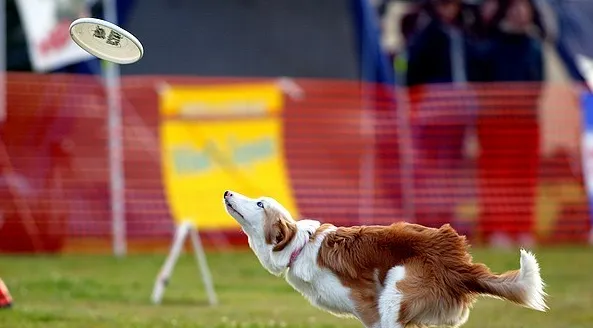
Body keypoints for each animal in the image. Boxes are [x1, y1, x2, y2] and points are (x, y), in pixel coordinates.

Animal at [222, 191, 544, 326]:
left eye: (260, 204)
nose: (226, 192)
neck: (299, 246)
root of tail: (460, 263)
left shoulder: (369, 309)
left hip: (395, 296)